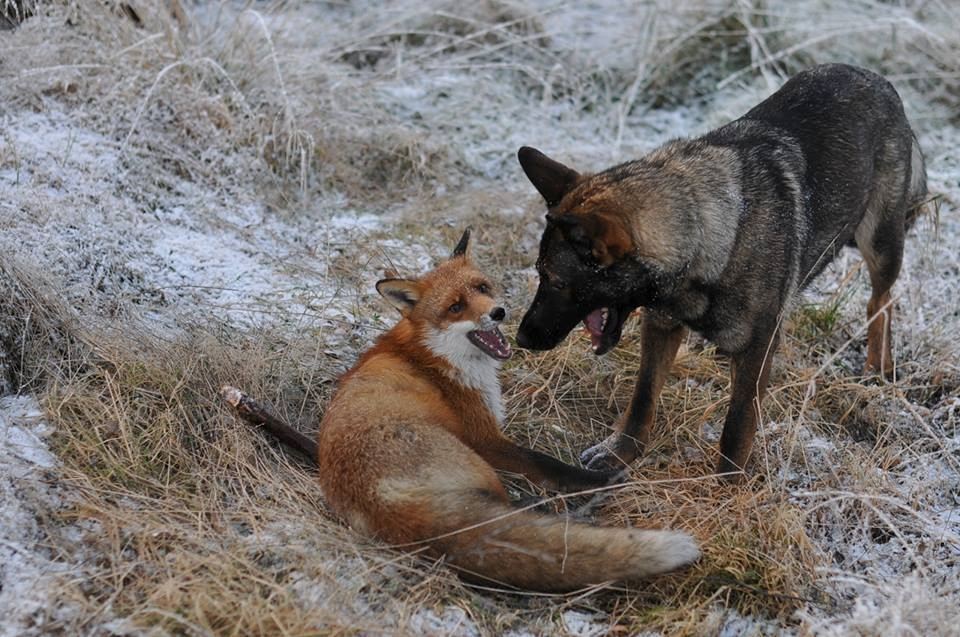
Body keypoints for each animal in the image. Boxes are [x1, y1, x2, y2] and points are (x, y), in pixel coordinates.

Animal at [312, 230, 700, 592]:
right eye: (455, 307)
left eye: (482, 287)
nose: (498, 312)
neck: (433, 357)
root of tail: (385, 505)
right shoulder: (486, 438)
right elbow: (548, 464)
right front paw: (602, 479)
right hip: (479, 464)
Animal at [512, 63, 928, 476]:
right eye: (539, 273)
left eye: (556, 281)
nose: (521, 339)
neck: (706, 236)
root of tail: (873, 75)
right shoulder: (660, 325)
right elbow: (643, 397)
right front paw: (619, 452)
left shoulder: (757, 349)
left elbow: (737, 428)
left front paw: (727, 486)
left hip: (879, 243)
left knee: (881, 300)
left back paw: (876, 369)